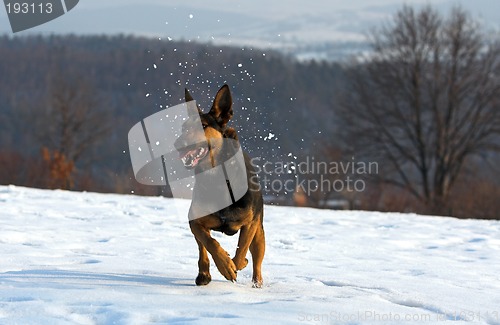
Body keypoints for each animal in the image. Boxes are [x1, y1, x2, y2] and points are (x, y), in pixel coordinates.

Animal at [174, 83, 264, 286]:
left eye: (203, 126)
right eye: (183, 128)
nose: (177, 143)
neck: (216, 177)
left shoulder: (251, 222)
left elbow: (241, 251)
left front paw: (236, 265)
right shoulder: (194, 220)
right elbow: (209, 242)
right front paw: (224, 265)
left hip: (259, 231)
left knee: (257, 259)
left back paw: (256, 282)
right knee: (202, 247)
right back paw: (204, 274)